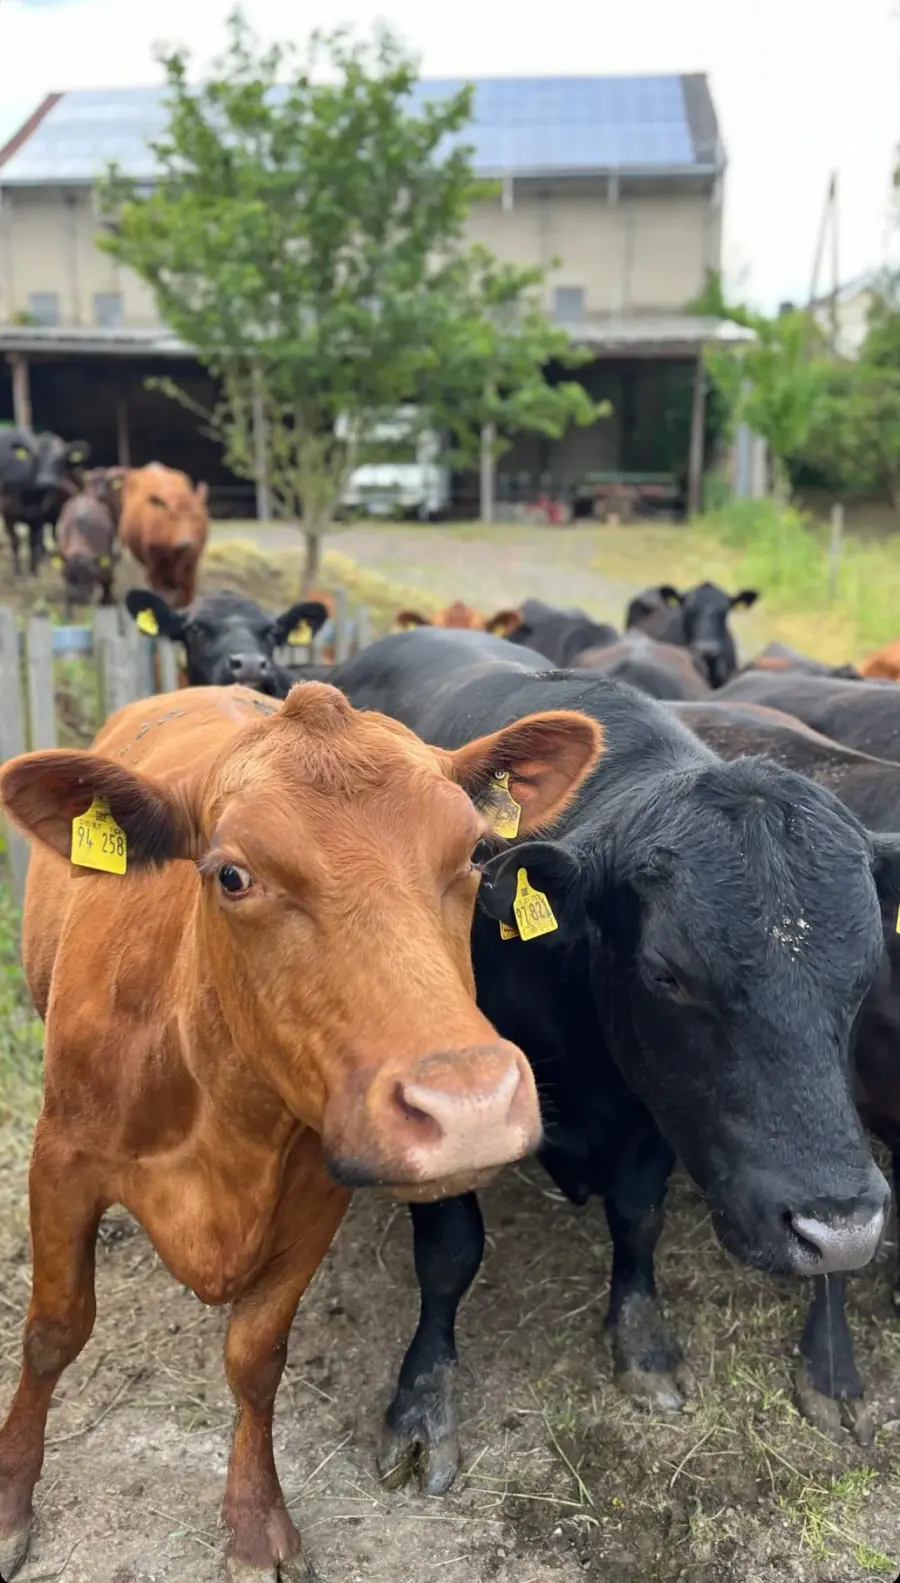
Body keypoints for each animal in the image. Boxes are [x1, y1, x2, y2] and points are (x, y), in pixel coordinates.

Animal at [0, 429, 90, 575]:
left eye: (60, 459)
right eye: (35, 457)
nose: (45, 481)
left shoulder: (38, 516)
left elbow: (33, 542)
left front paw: (33, 571)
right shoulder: (7, 515)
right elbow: (15, 541)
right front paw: (17, 571)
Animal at [0, 679, 603, 1581]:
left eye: (472, 853)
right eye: (232, 874)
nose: (468, 1104)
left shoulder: (316, 1192)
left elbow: (257, 1357)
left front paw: (256, 1522)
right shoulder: (62, 1159)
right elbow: (52, 1331)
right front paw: (10, 1499)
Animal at [120, 463, 209, 608]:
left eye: (196, 516)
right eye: (172, 517)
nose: (186, 542)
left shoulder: (191, 568)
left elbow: (186, 600)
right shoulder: (154, 569)